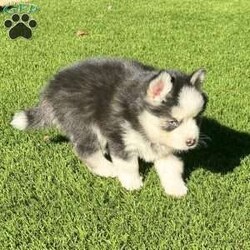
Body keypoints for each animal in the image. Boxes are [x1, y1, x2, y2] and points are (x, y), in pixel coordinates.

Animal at [11, 58, 207, 197]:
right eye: (173, 122)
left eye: (196, 118)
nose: (192, 141)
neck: (142, 124)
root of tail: (51, 87)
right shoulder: (120, 138)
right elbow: (128, 165)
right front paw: (132, 184)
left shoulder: (166, 149)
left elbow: (172, 167)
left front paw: (176, 188)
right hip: (85, 123)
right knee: (86, 150)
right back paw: (108, 169)